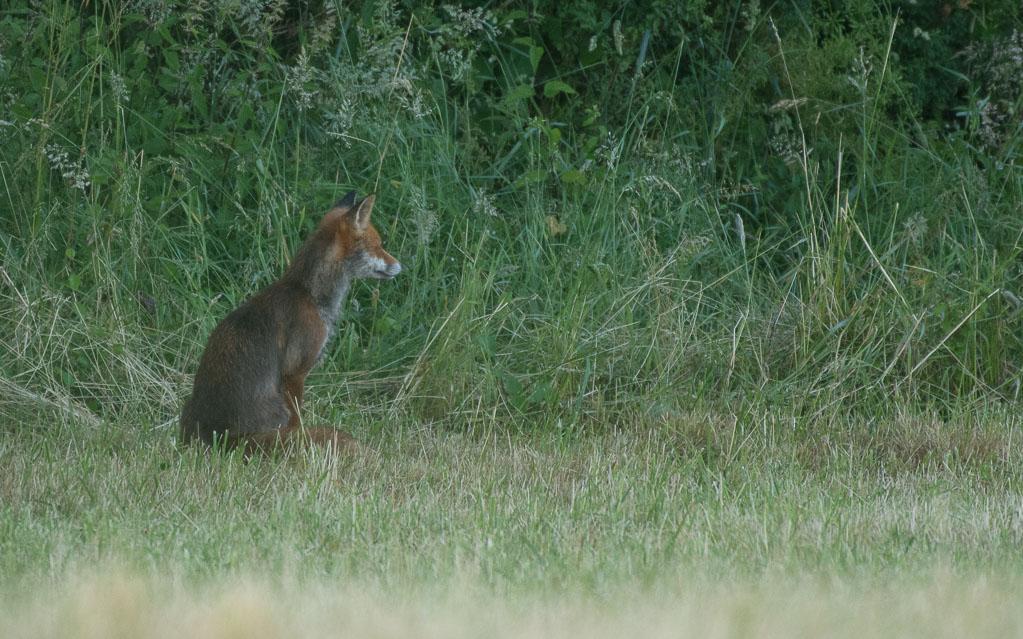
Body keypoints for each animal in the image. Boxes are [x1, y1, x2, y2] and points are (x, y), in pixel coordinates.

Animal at [179, 190, 401, 455]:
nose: (400, 266)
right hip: (277, 407)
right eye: (379, 246)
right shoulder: (295, 370)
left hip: (186, 408)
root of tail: (220, 438)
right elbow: (297, 421)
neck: (308, 293)